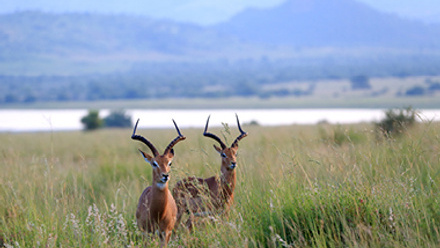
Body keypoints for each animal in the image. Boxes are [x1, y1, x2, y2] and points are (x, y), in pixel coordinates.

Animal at [131, 118, 186, 246]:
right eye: (154, 163)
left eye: (169, 163)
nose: (165, 175)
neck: (158, 213)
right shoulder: (146, 233)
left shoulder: (165, 234)